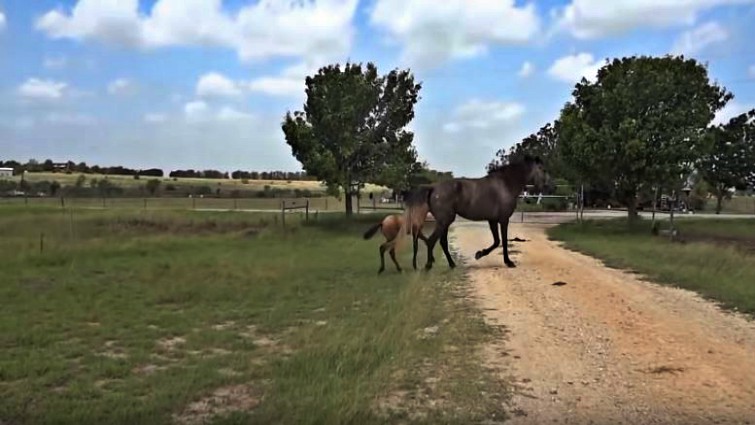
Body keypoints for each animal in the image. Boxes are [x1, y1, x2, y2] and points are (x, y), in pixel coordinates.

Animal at [403, 155, 550, 271]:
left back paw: (452, 264)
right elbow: (503, 241)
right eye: (542, 169)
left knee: (442, 242)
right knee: (432, 241)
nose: (548, 186)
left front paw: (479, 254)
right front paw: (508, 262)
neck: (506, 185)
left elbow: (496, 241)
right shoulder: (503, 220)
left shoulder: (492, 220)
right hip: (445, 221)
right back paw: (429, 265)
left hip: (444, 222)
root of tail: (433, 188)